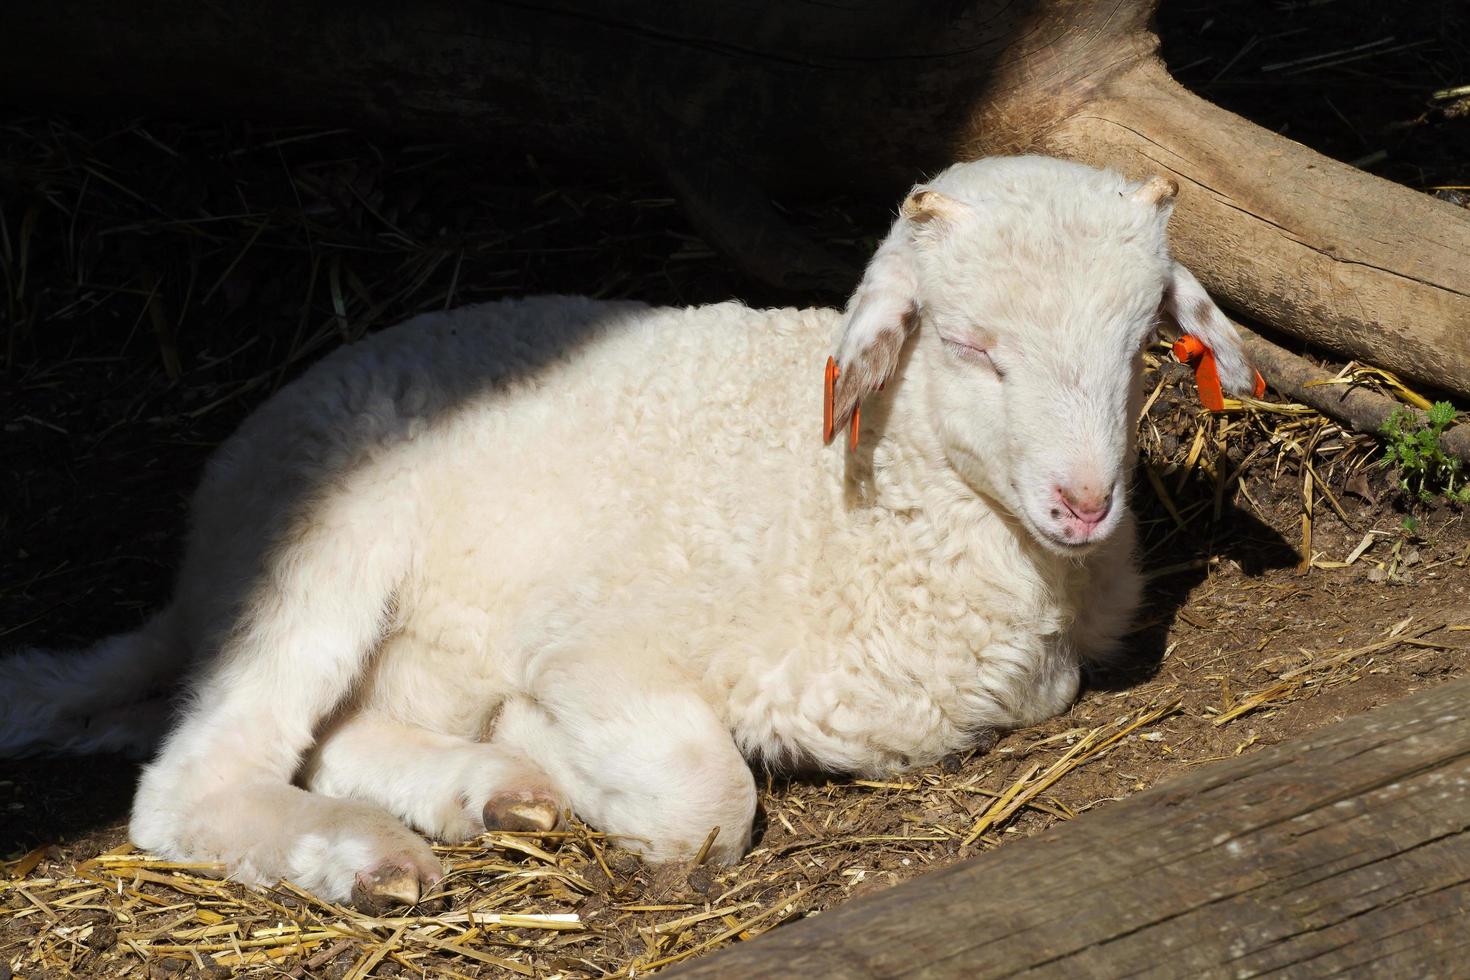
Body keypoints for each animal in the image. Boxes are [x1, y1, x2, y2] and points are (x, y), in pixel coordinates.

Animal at [5, 157, 1258, 910]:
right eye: (969, 344)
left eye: (1142, 341)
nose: (1085, 503)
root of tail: (199, 563)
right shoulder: (596, 644)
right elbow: (708, 800)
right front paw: (571, 755)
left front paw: (525, 761)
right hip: (323, 546)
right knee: (193, 777)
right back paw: (373, 852)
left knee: (324, 731)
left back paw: (485, 788)